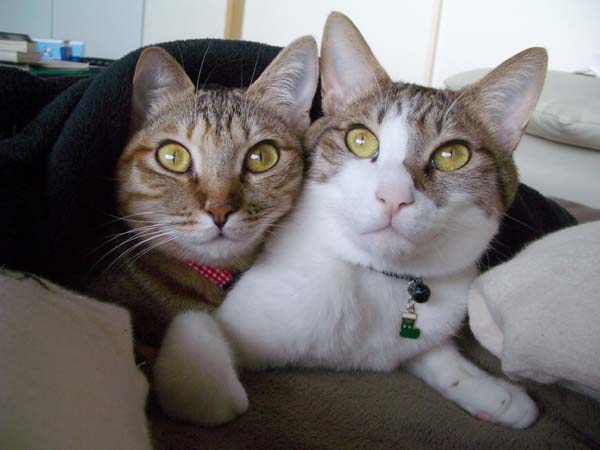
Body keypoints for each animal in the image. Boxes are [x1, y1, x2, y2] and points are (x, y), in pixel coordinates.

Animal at [153, 12, 547, 428]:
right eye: (361, 140)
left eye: (452, 155)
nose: (393, 197)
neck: (376, 279)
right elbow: (198, 336)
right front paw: (211, 383)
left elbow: (428, 351)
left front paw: (486, 387)